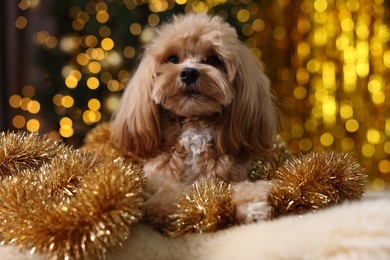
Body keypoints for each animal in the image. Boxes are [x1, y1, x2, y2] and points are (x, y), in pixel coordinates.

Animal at [111, 12, 278, 228]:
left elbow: (235, 188)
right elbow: (169, 193)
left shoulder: (227, 176)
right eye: (173, 59)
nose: (189, 72)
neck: (194, 127)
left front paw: (252, 204)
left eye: (214, 60)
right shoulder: (159, 176)